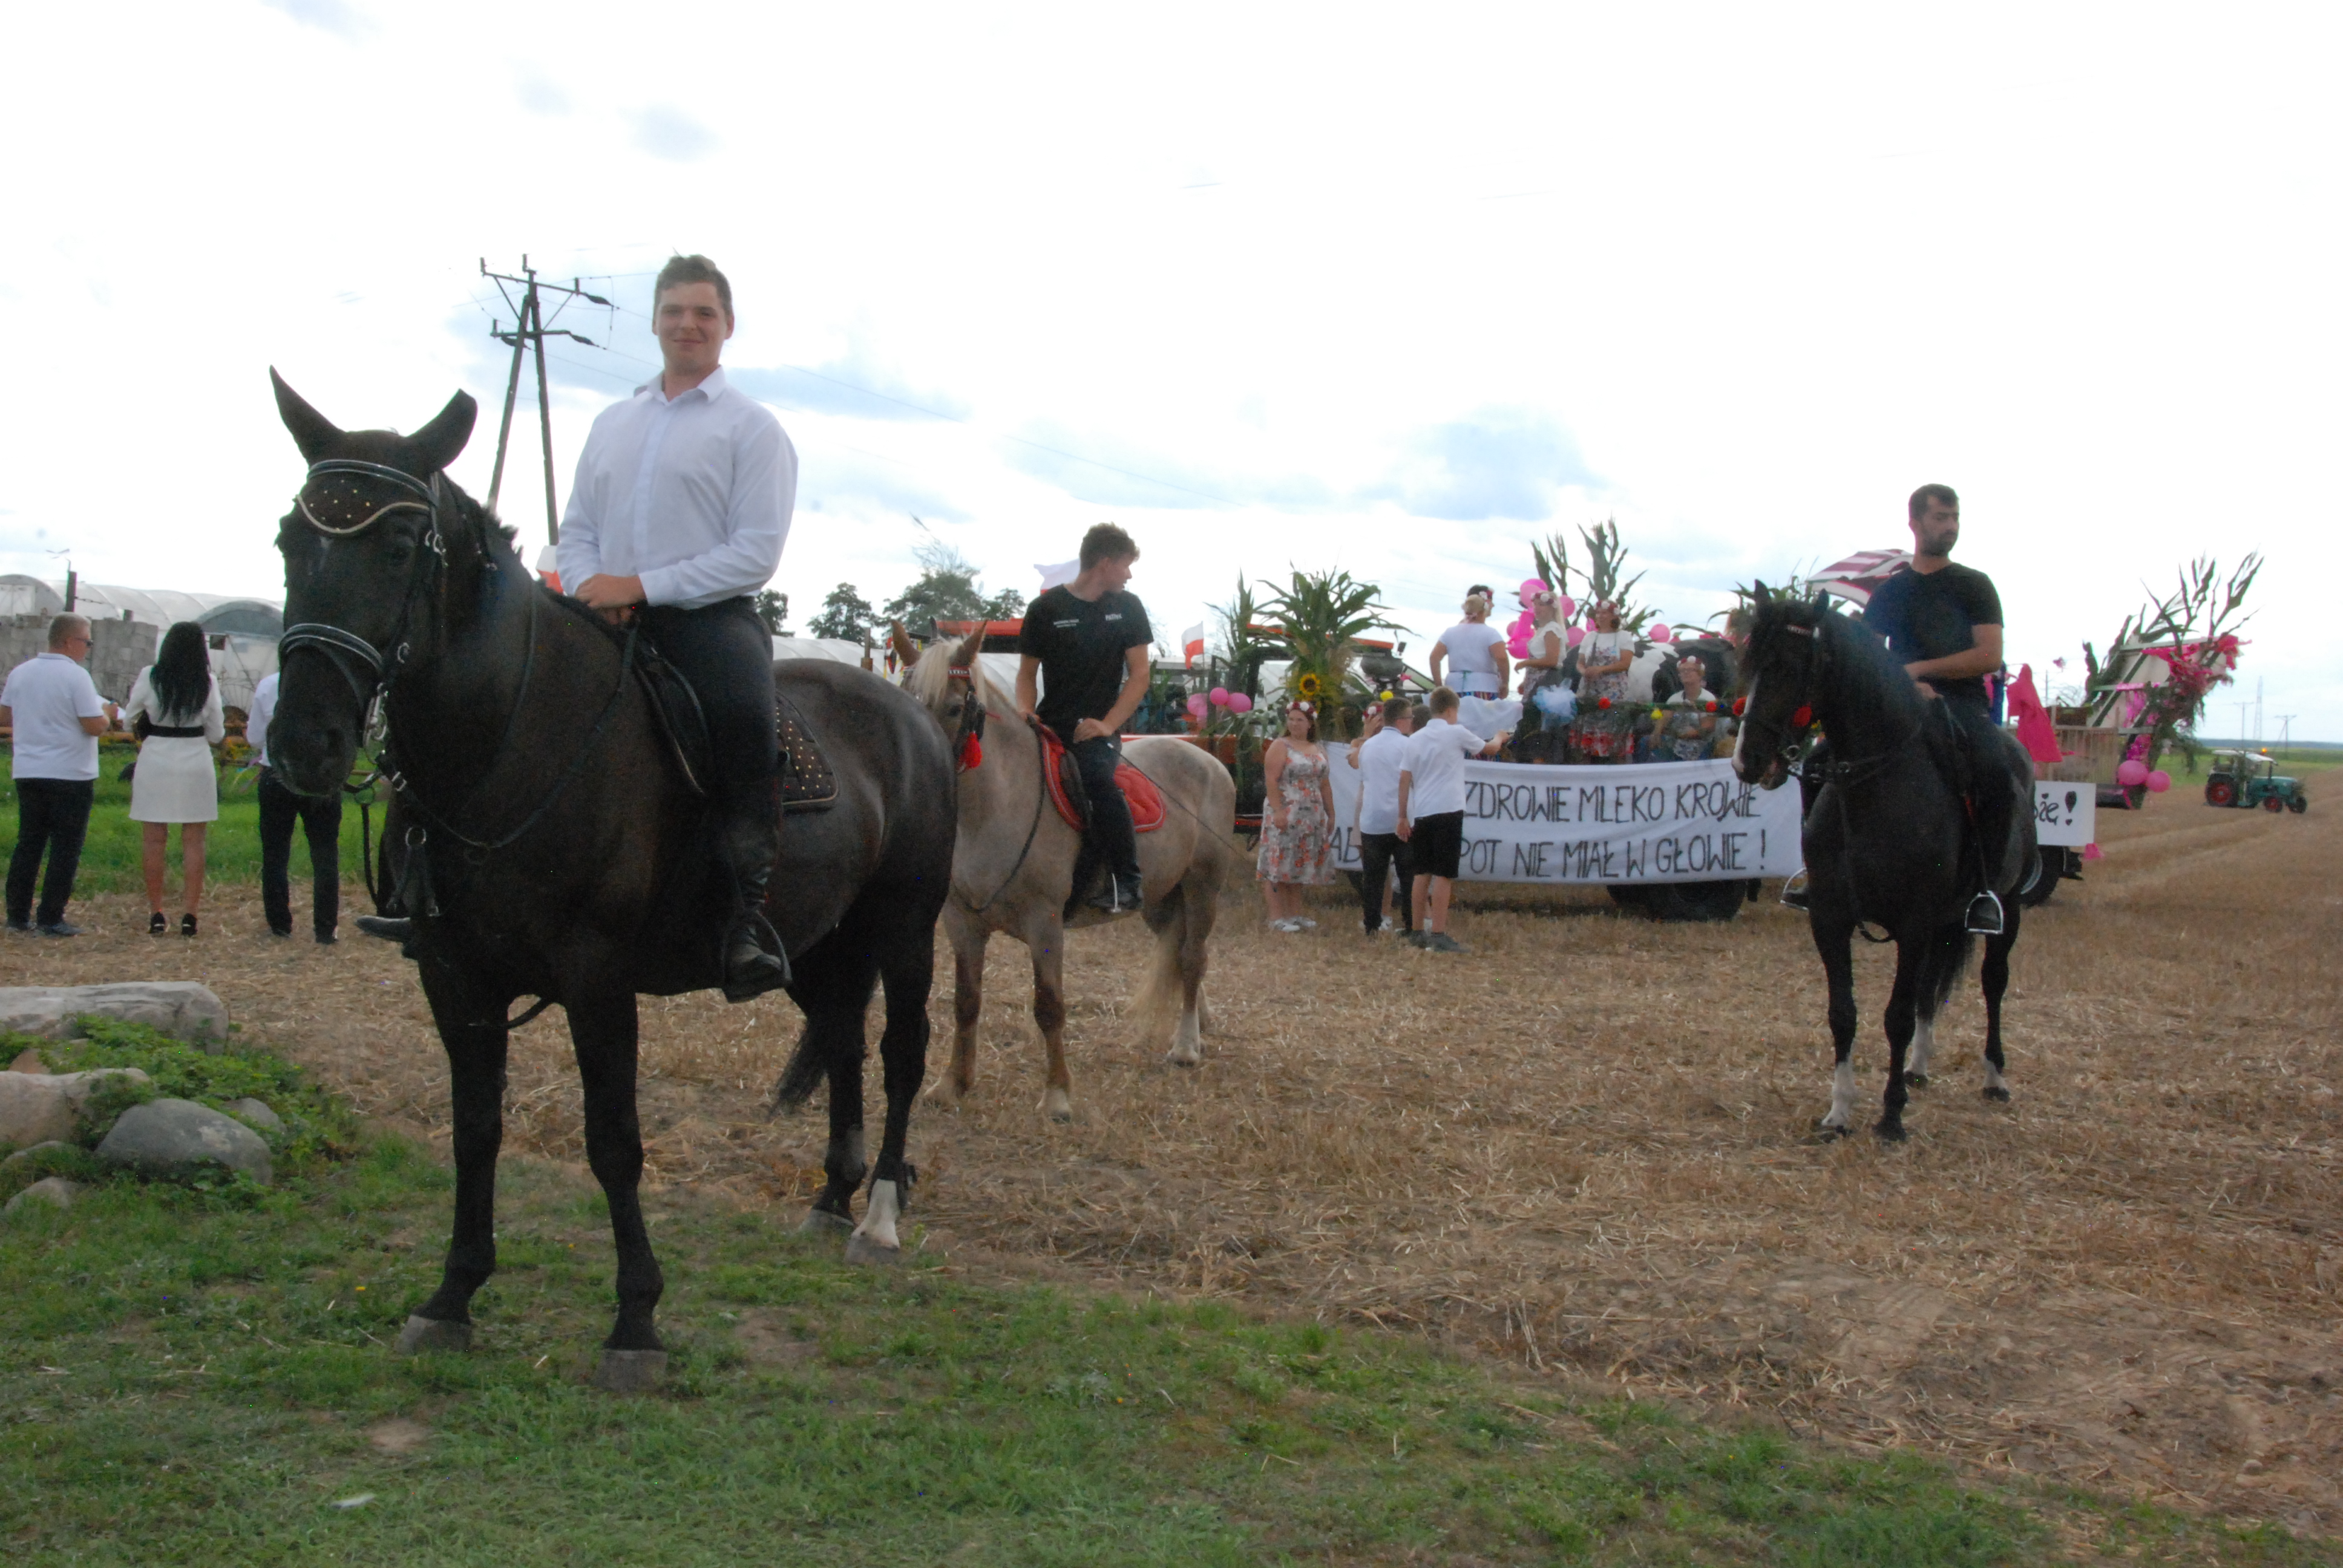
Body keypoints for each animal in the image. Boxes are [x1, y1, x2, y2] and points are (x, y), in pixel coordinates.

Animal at [269, 374, 965, 1378]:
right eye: (290, 539)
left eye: (399, 547)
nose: (305, 743)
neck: (512, 740)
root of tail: (914, 716)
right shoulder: (454, 976)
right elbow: (474, 1129)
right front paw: (452, 1296)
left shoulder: (597, 979)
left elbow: (614, 1142)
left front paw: (636, 1320)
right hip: (816, 946)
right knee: (841, 1037)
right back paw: (831, 1199)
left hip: (902, 929)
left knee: (902, 1053)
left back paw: (877, 1216)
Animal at [890, 628, 1237, 1120]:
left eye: (955, 708)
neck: (996, 806)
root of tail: (1207, 759)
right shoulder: (962, 924)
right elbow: (965, 1002)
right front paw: (953, 1084)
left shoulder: (1046, 924)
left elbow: (1049, 1007)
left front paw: (1057, 1095)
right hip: (1160, 899)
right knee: (1185, 952)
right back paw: (1201, 1024)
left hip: (1203, 887)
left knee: (1192, 959)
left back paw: (1186, 1044)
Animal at [1724, 583, 2033, 1138]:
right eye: (1750, 663)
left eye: (1792, 665)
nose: (1748, 761)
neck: (1876, 789)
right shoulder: (1830, 918)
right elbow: (1843, 1013)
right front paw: (1840, 1112)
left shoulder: (1913, 923)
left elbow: (1897, 1016)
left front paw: (1890, 1116)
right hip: (1945, 921)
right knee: (1933, 988)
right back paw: (1918, 1068)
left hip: (2009, 907)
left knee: (1992, 983)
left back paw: (1994, 1078)